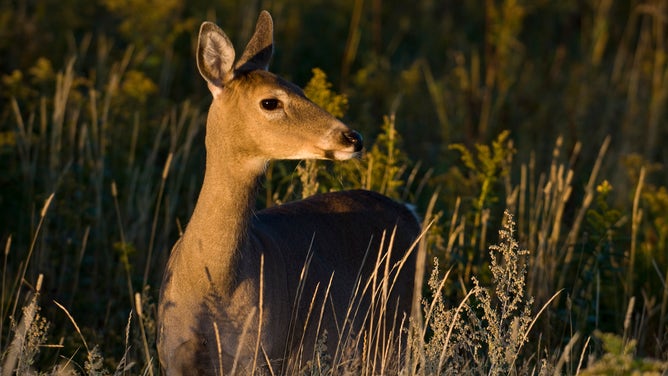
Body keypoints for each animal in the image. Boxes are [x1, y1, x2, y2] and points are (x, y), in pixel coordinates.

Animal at [155, 10, 418, 374]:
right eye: (270, 102)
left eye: (300, 88)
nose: (353, 138)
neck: (213, 283)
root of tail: (409, 213)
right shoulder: (172, 355)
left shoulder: (260, 353)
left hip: (396, 333)